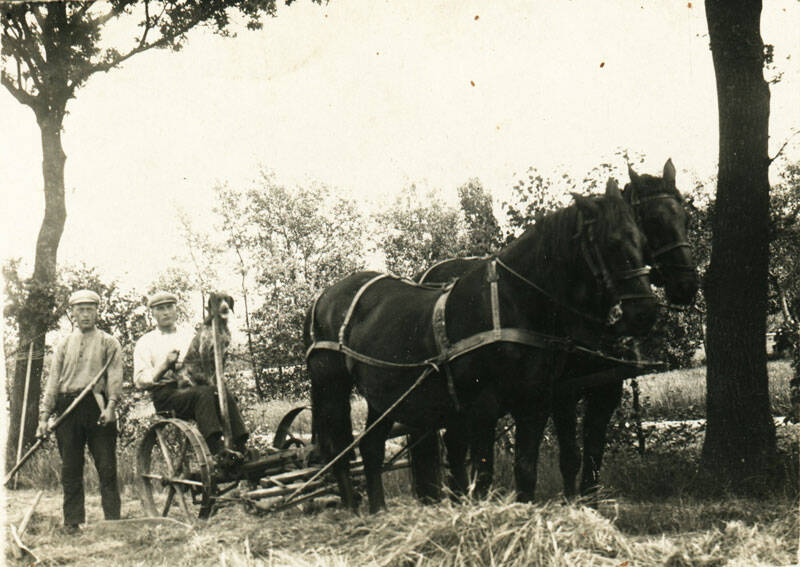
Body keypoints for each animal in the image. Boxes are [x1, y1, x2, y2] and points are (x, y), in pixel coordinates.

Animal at [305, 182, 658, 512]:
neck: (512, 303)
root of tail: (324, 298)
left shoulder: (535, 402)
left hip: (384, 395)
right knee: (339, 453)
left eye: (643, 239)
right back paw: (355, 512)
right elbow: (484, 477)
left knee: (371, 449)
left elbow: (525, 471)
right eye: (611, 243)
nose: (645, 312)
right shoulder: (483, 406)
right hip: (332, 387)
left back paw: (378, 512)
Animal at [409, 159, 699, 500]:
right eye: (652, 221)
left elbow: (592, 456)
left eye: (686, 217)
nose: (687, 285)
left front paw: (586, 502)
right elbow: (570, 457)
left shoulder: (605, 389)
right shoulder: (563, 394)